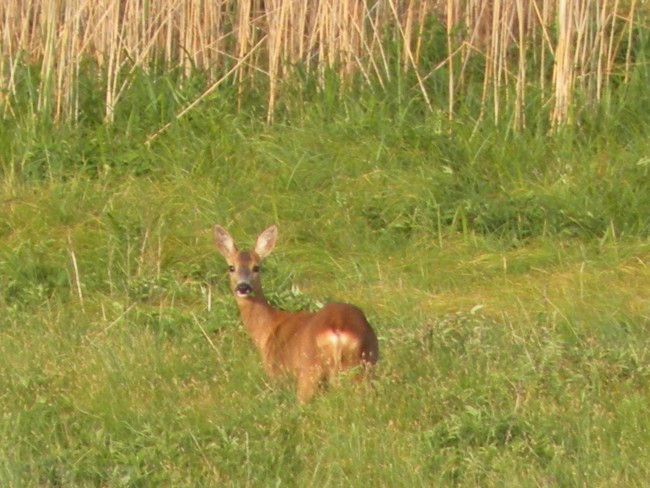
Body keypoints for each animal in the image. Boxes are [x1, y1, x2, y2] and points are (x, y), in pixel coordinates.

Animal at [213, 224, 379, 403]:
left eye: (256, 267)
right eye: (231, 267)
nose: (243, 287)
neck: (267, 329)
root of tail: (338, 326)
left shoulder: (278, 374)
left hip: (310, 371)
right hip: (364, 364)